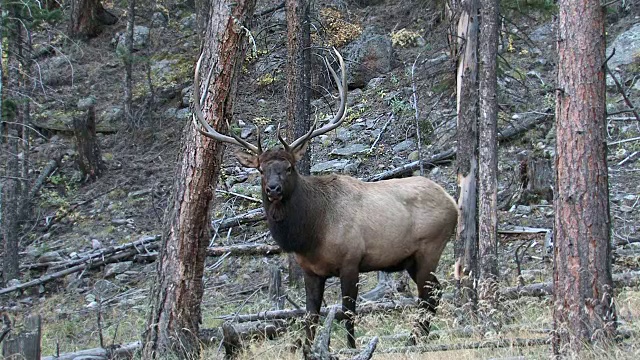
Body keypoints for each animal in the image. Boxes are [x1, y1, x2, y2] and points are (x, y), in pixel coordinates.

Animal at [192, 47, 458, 348]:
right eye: (260, 169)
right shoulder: (310, 270)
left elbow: (348, 313)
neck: (311, 233)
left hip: (430, 248)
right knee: (434, 293)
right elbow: (311, 318)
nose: (273, 189)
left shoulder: (351, 260)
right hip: (413, 259)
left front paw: (352, 348)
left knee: (429, 295)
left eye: (289, 167)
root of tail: (453, 202)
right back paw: (415, 339)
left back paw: (415, 340)